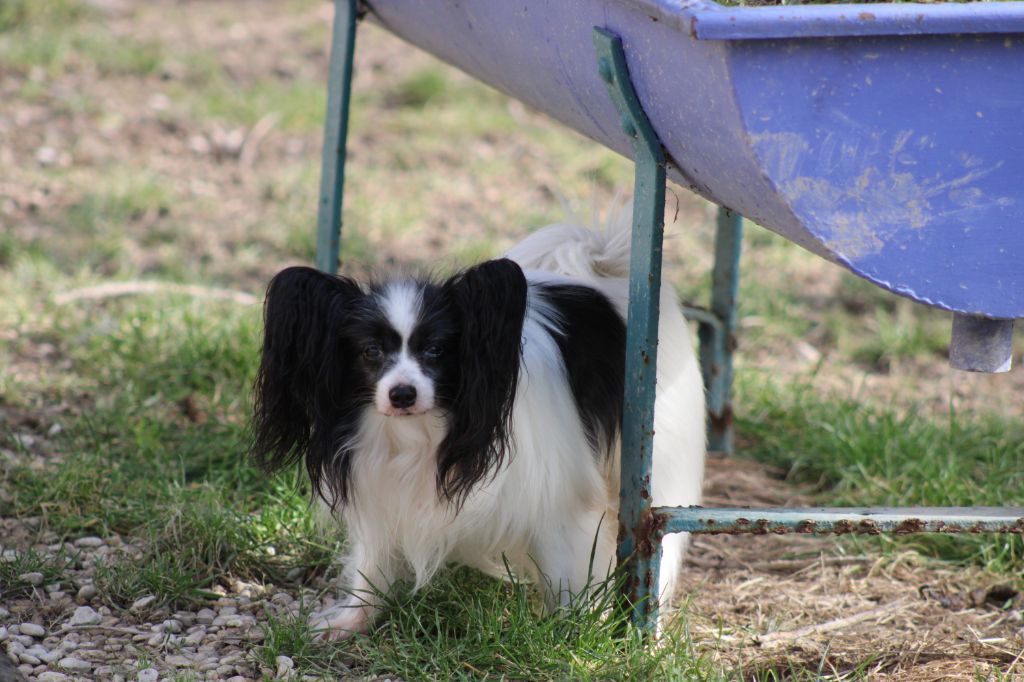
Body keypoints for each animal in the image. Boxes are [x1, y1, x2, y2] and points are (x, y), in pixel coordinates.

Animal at [251, 214, 706, 638]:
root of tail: (603, 271)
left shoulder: (562, 499)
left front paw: (574, 637)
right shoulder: (381, 491)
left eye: (436, 351)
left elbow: (569, 578)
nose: (402, 394)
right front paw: (351, 621)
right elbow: (372, 562)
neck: (426, 435)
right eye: (370, 352)